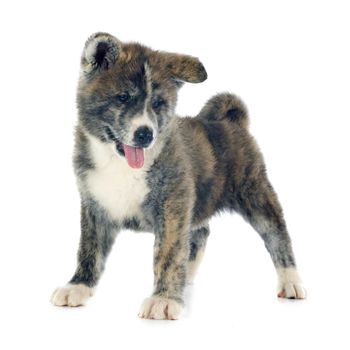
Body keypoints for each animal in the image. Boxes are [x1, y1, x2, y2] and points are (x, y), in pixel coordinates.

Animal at [50, 32, 304, 320]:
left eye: (158, 104)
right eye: (123, 98)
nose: (145, 134)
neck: (119, 163)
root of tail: (233, 123)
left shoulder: (172, 205)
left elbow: (167, 254)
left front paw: (164, 298)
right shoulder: (95, 206)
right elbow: (89, 250)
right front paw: (78, 286)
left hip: (256, 193)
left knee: (277, 234)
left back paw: (291, 281)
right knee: (200, 232)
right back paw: (188, 275)